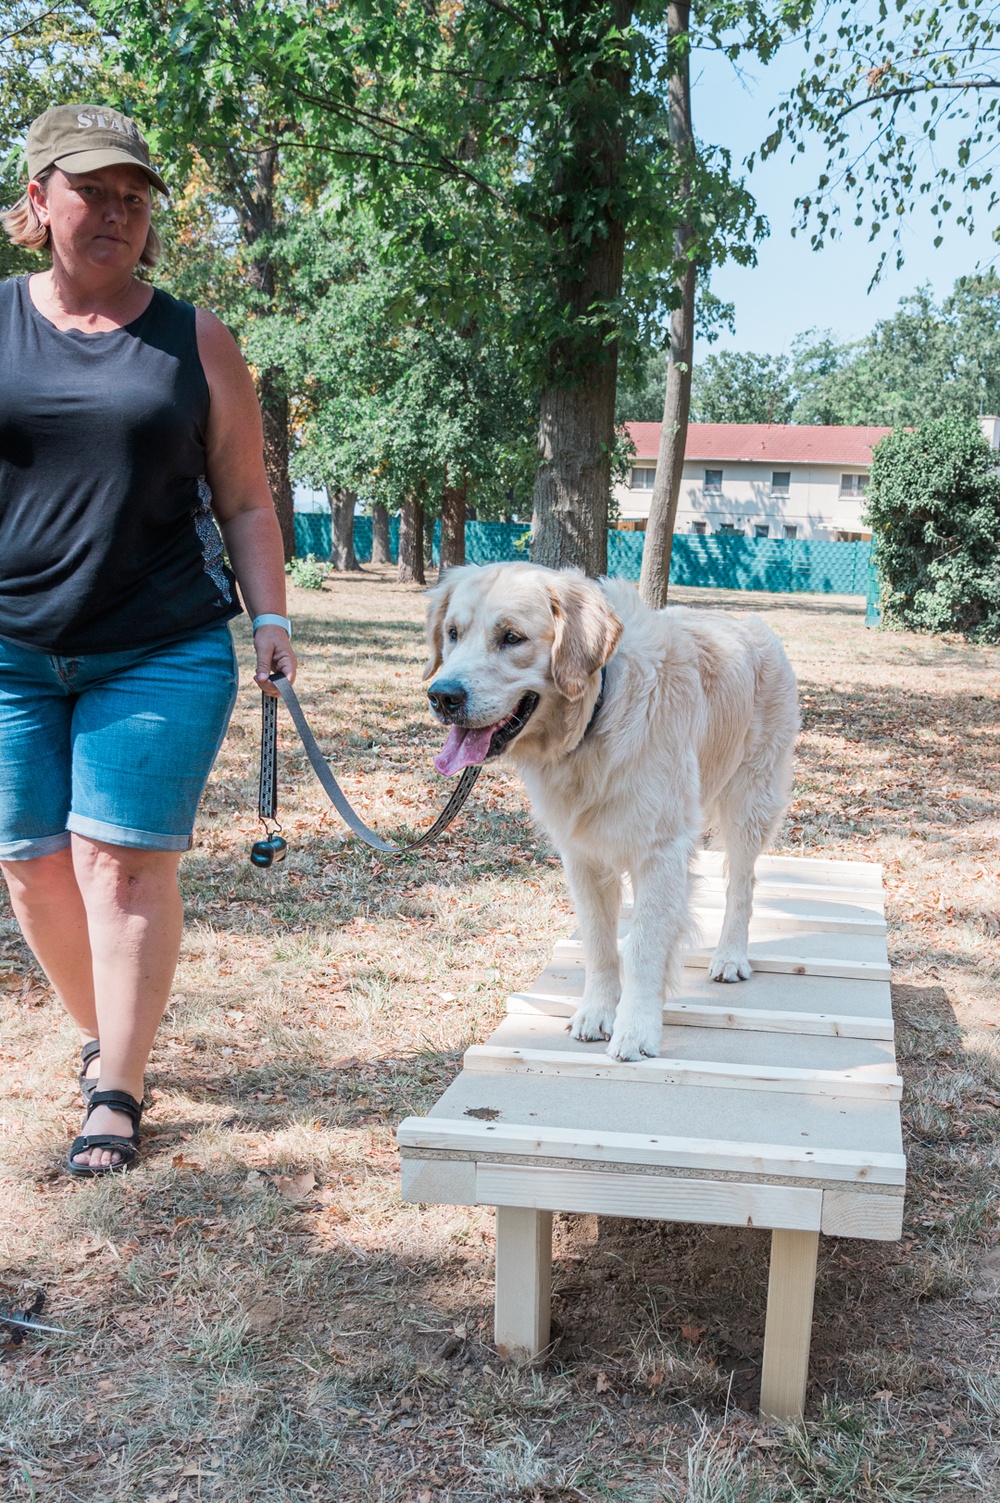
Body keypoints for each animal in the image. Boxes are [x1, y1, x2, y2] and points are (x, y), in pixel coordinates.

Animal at [421, 559, 793, 1064]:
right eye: (453, 633)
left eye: (512, 637)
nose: (442, 696)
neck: (595, 713)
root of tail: (752, 624)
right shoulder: (582, 856)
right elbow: (600, 944)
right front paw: (597, 1013)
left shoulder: (661, 851)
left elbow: (643, 949)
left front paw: (635, 1030)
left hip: (748, 802)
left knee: (742, 884)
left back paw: (730, 957)